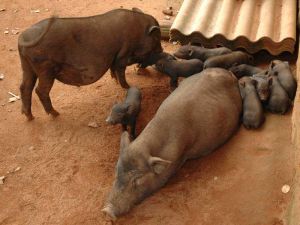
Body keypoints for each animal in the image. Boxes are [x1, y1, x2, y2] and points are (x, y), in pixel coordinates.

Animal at [17, 9, 163, 121]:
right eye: (157, 38)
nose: (162, 50)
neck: (139, 32)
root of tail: (22, 38)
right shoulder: (123, 55)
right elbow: (121, 72)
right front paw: (128, 86)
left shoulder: (115, 57)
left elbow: (113, 69)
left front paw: (115, 81)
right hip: (45, 69)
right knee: (40, 90)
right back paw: (55, 114)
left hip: (27, 66)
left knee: (25, 87)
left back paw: (29, 117)